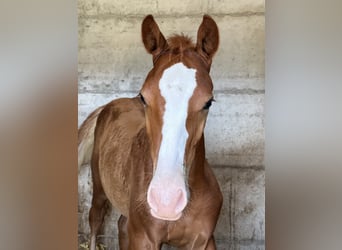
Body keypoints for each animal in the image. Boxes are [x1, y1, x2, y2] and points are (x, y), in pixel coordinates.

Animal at [78, 14, 223, 249]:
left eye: (208, 102)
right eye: (144, 97)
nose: (166, 200)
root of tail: (110, 104)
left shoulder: (204, 240)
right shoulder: (144, 238)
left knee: (121, 224)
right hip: (99, 188)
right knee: (95, 218)